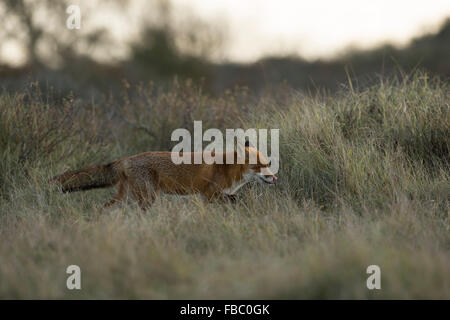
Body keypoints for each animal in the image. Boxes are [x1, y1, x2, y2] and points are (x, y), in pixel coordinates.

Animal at [52, 143, 278, 209]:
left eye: (267, 164)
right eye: (259, 166)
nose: (274, 178)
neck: (227, 167)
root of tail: (125, 159)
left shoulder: (206, 197)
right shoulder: (210, 193)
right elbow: (235, 199)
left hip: (128, 197)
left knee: (106, 207)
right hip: (147, 197)